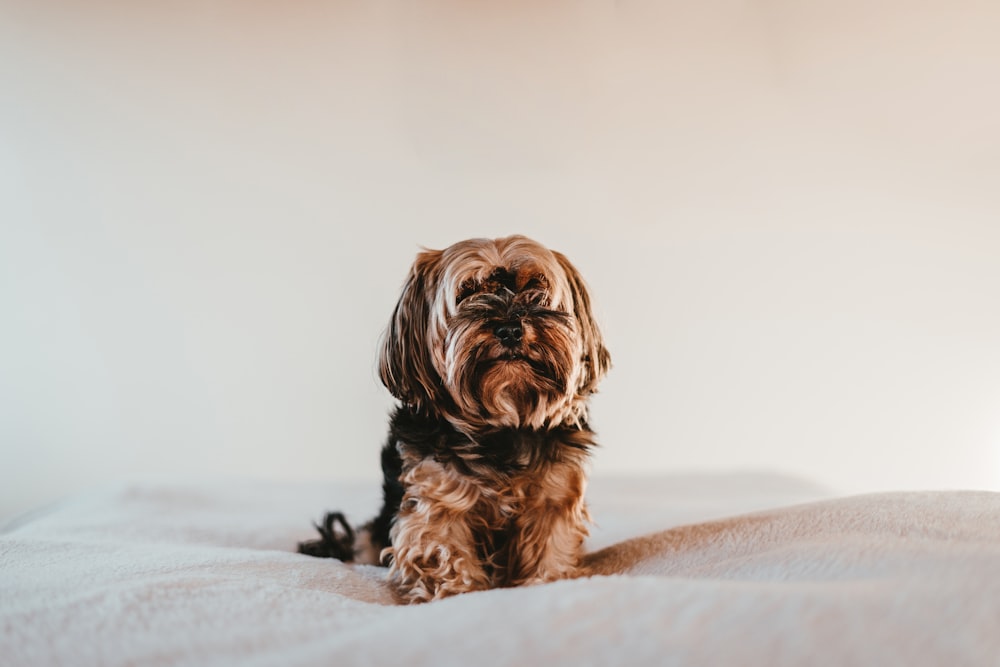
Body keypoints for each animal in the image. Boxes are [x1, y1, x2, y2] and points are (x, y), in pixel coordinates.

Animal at [296, 236, 608, 604]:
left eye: (534, 289)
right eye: (466, 293)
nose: (509, 328)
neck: (502, 424)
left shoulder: (553, 496)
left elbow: (550, 548)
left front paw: (549, 584)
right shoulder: (436, 498)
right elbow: (442, 552)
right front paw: (454, 596)